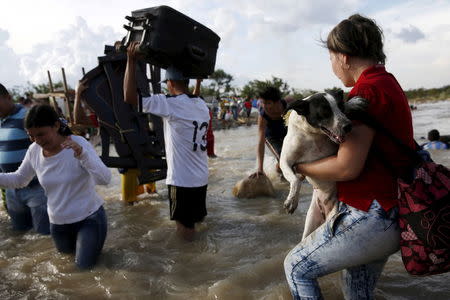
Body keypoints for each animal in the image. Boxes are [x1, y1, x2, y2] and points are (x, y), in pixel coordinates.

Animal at [280, 90, 368, 240]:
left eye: (340, 106)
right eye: (325, 112)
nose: (348, 126)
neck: (313, 135)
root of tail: (324, 210)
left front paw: (353, 103)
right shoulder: (285, 160)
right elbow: (296, 180)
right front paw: (291, 201)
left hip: (332, 215)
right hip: (310, 224)